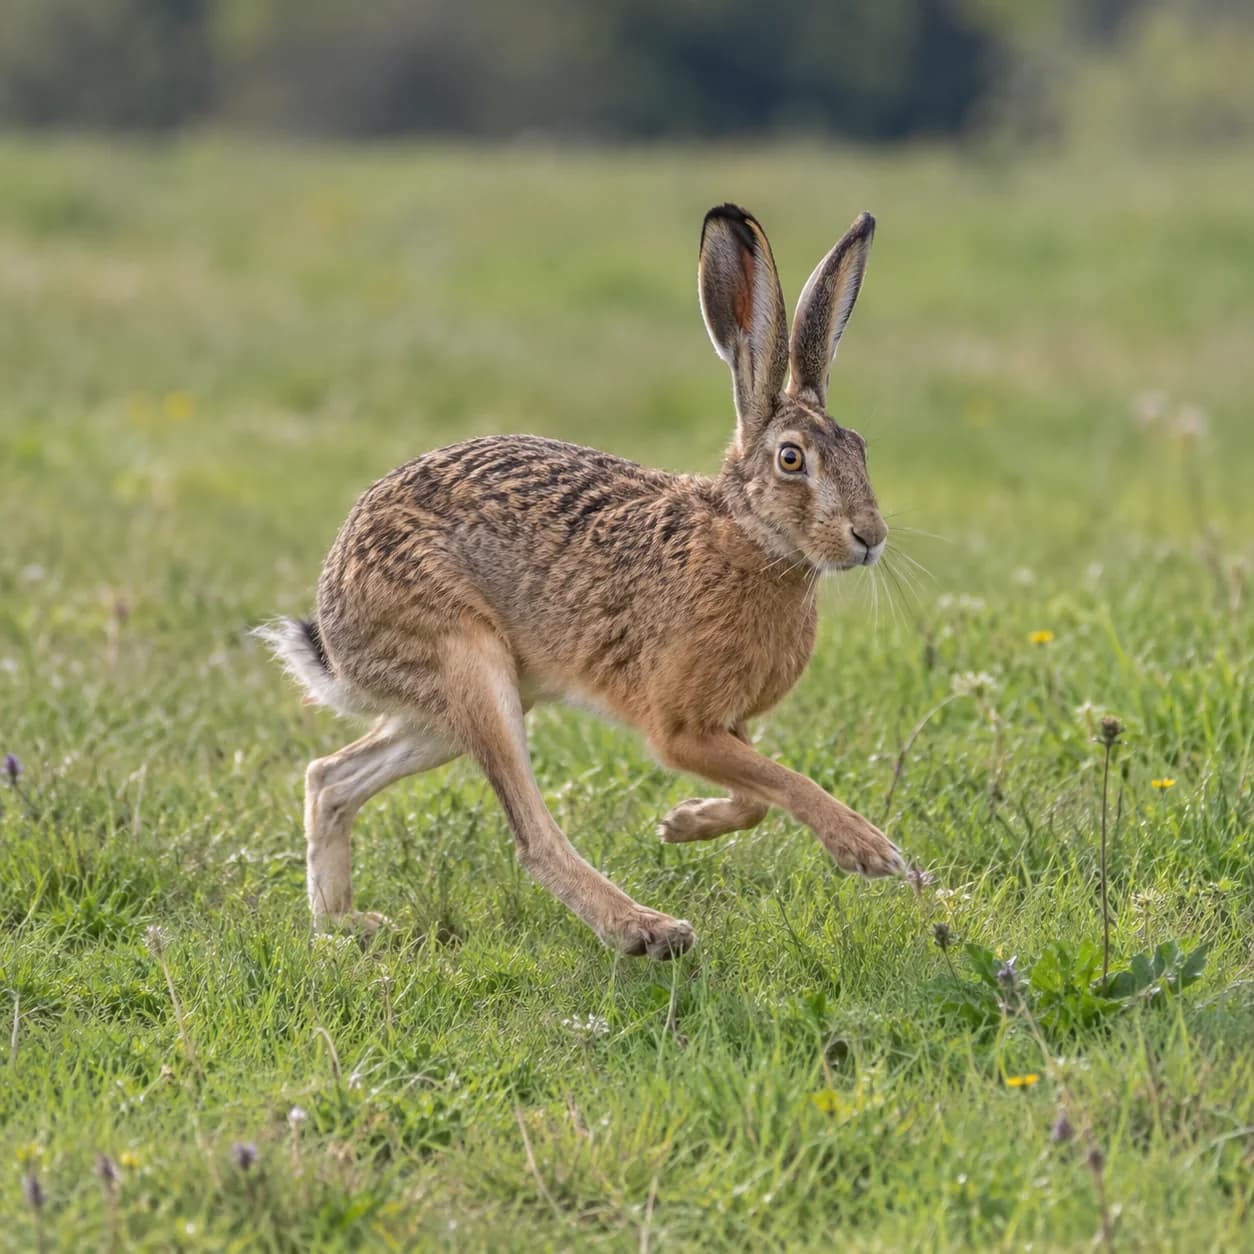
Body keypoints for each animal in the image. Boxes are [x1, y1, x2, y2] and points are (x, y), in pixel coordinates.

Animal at [257, 203, 904, 959]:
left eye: (860, 449)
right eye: (792, 459)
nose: (869, 536)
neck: (744, 535)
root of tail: (334, 614)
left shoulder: (727, 725)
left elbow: (755, 796)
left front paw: (684, 822)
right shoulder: (679, 728)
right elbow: (780, 780)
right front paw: (868, 850)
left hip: (460, 704)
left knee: (330, 778)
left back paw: (342, 925)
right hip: (466, 661)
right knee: (531, 836)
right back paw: (644, 929)